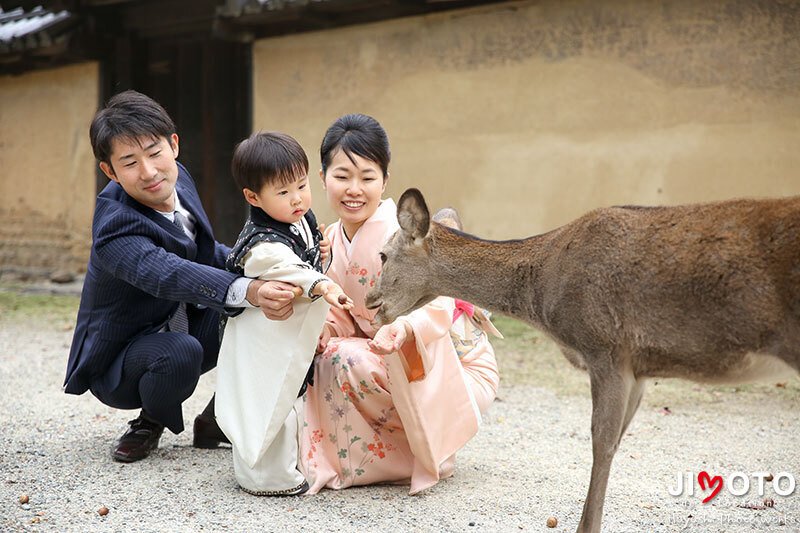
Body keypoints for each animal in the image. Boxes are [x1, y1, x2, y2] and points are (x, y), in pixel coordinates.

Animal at [368, 187, 800, 532]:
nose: (371, 301)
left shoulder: (606, 348)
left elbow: (601, 442)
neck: (543, 293)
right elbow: (616, 440)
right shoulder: (639, 368)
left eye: (384, 255)